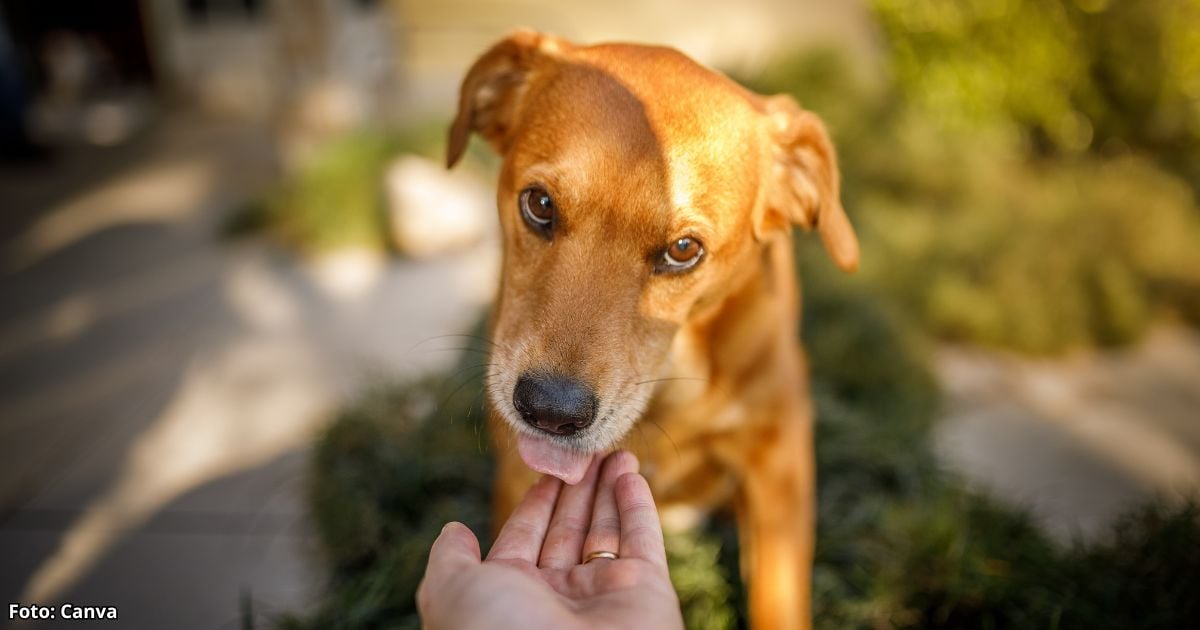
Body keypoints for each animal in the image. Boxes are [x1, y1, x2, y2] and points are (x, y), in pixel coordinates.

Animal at [446, 30, 859, 628]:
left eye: (684, 250)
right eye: (539, 204)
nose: (549, 411)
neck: (669, 391)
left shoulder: (779, 462)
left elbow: (778, 598)